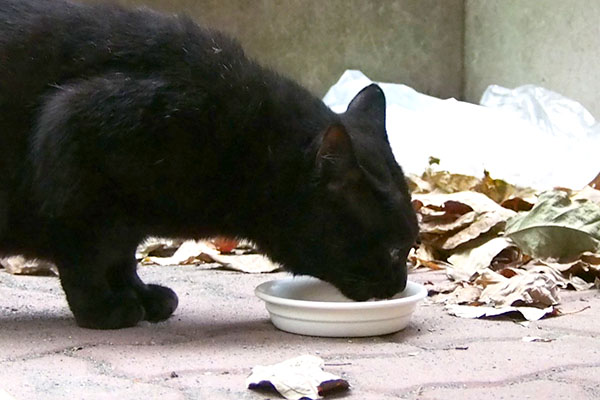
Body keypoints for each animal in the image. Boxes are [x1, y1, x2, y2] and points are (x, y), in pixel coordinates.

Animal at [0, 0, 420, 328]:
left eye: (411, 247)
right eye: (394, 249)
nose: (399, 283)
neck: (248, 139)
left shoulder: (125, 221)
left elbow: (123, 258)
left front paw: (142, 295)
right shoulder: (71, 137)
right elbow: (86, 261)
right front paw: (103, 310)